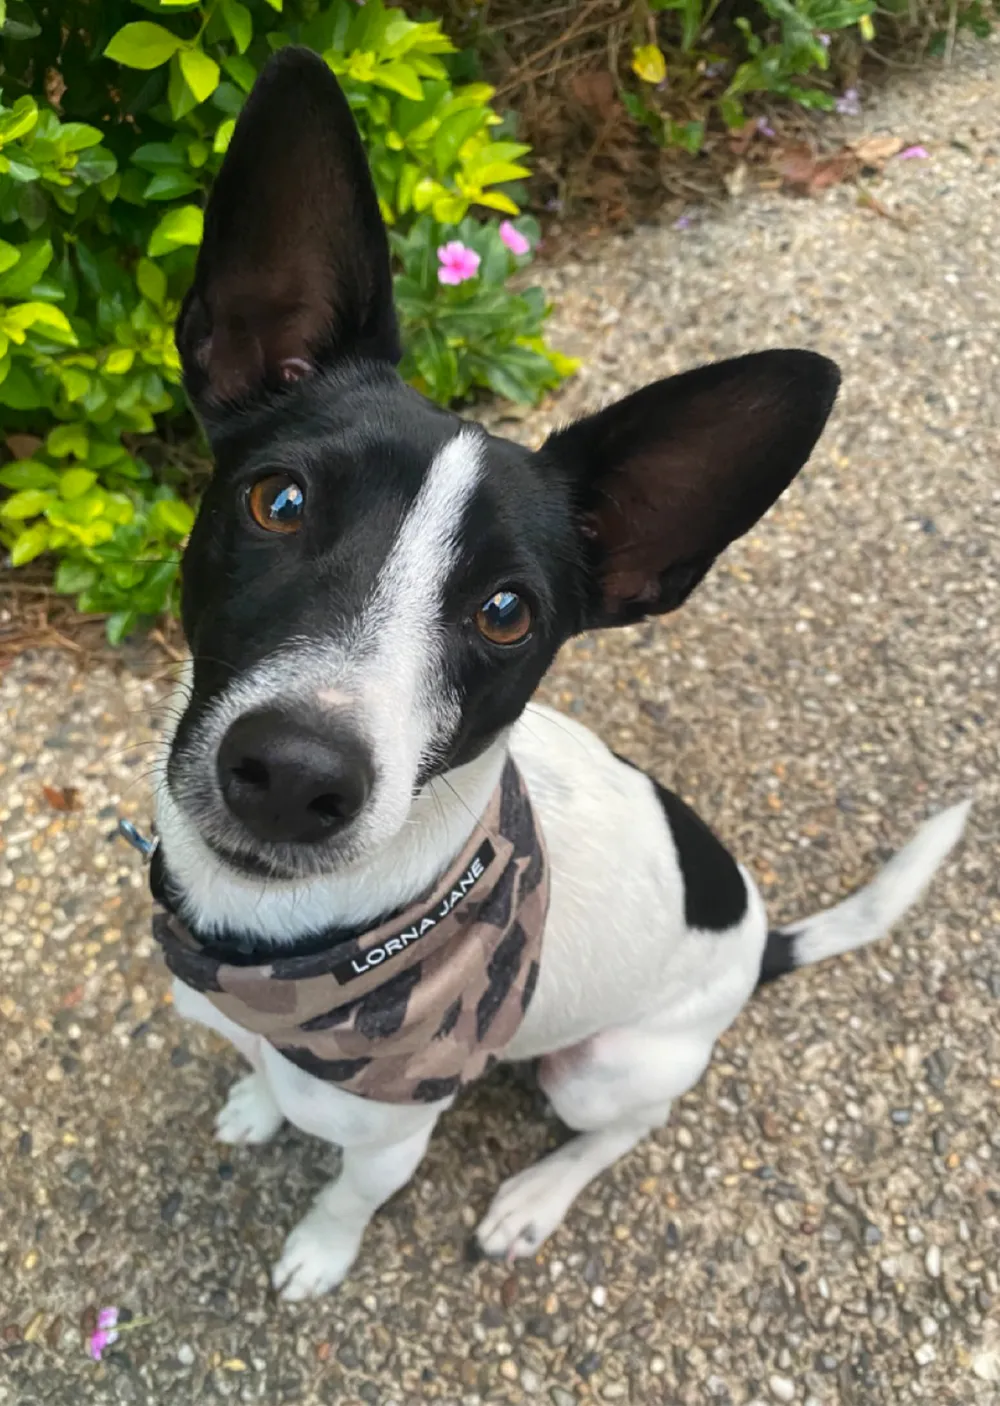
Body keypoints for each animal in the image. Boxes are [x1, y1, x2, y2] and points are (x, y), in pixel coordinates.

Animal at [152, 49, 973, 1299]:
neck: (278, 950)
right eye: (278, 500)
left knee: (626, 1126)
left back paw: (536, 1196)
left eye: (506, 612)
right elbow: (260, 1078)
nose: (293, 774)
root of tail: (755, 942)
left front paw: (319, 1249)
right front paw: (255, 1100)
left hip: (602, 1067)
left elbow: (347, 1191)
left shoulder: (391, 1133)